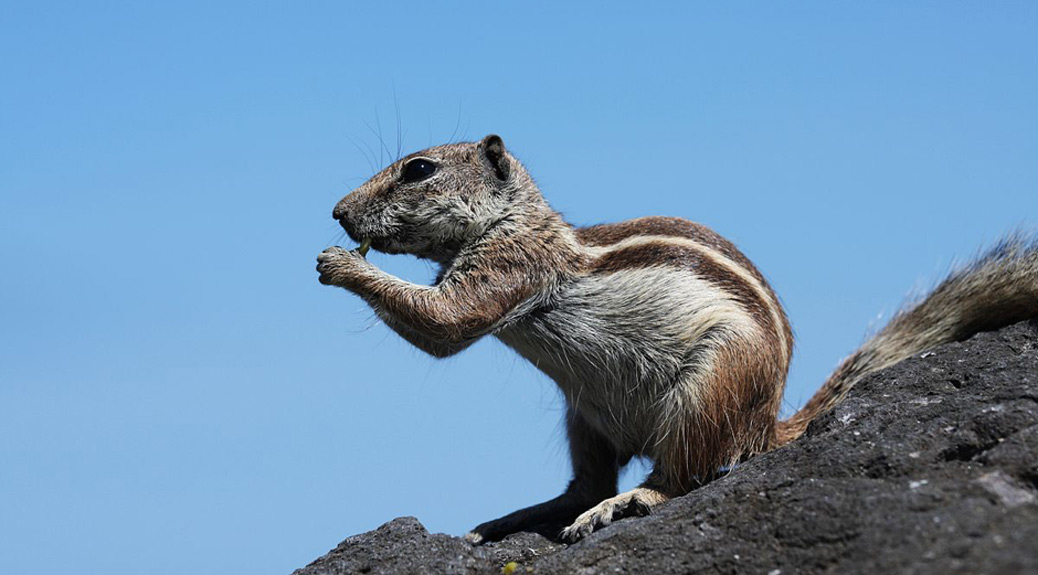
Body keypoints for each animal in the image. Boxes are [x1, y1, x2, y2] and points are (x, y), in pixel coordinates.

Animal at [313, 133, 1038, 539]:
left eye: (418, 169)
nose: (339, 213)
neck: (516, 218)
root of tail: (767, 424)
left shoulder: (509, 268)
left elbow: (448, 324)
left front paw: (340, 262)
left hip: (708, 390)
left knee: (684, 476)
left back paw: (629, 501)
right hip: (584, 415)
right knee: (586, 483)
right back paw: (527, 514)